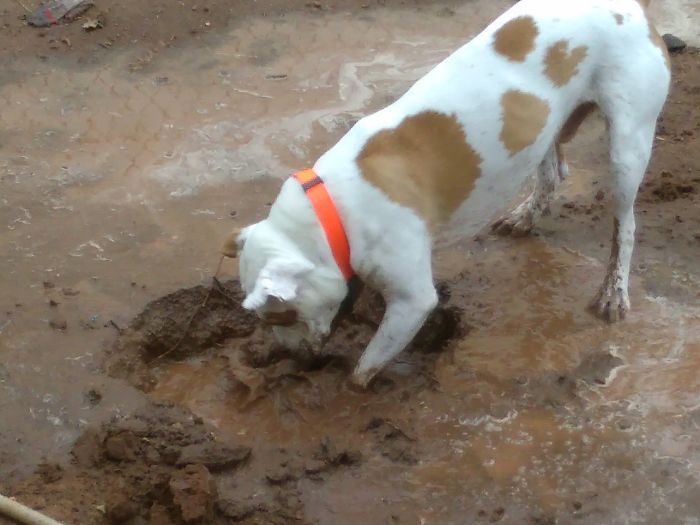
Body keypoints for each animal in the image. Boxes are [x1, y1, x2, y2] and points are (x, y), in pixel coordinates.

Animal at [227, 0, 668, 384]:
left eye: (279, 317)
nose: (289, 356)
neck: (332, 211)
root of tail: (631, 6)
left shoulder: (412, 302)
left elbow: (367, 366)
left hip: (626, 149)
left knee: (625, 224)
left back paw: (613, 292)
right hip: (548, 126)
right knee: (553, 173)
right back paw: (525, 217)